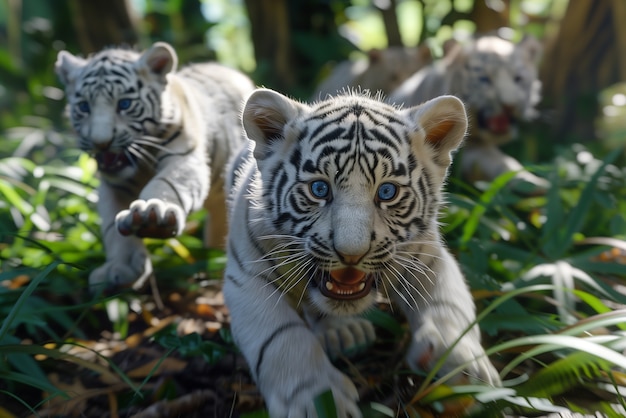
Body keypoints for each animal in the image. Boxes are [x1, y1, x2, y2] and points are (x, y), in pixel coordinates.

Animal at [54, 43, 255, 290]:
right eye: (84, 107)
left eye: (124, 104)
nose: (101, 143)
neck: (139, 165)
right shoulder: (111, 187)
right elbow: (112, 227)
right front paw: (122, 268)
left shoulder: (183, 157)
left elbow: (167, 184)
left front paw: (151, 216)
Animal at [223, 87, 498, 414]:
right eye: (319, 189)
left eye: (387, 192)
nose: (351, 254)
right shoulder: (247, 278)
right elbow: (282, 340)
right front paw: (318, 399)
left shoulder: (428, 259)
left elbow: (449, 307)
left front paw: (461, 363)